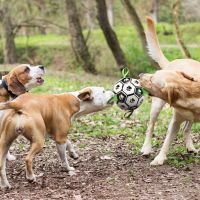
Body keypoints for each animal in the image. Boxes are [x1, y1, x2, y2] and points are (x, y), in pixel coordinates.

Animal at [141, 16, 200, 155]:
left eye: (152, 79)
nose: (140, 75)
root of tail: (171, 63)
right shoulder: (176, 118)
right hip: (156, 106)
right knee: (150, 127)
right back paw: (146, 148)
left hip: (189, 117)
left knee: (186, 129)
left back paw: (190, 147)